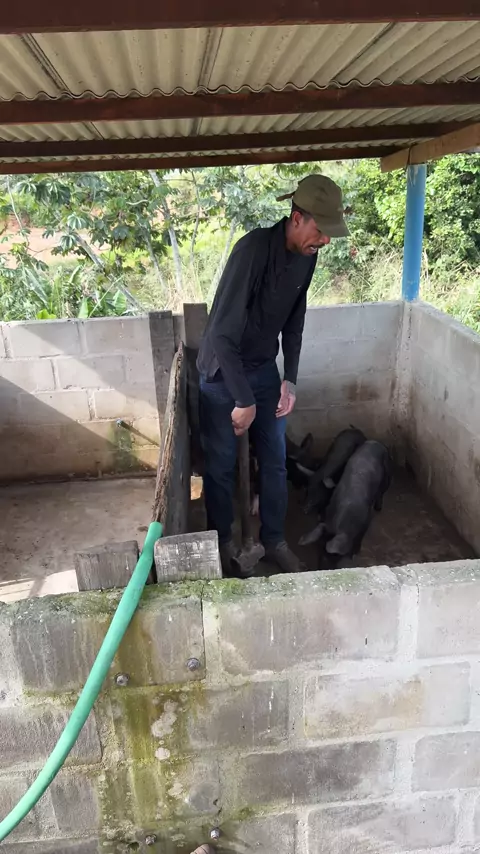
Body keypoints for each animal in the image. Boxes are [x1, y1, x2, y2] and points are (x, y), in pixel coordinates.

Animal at [299, 440, 392, 569]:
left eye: (333, 556)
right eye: (318, 551)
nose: (321, 568)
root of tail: (374, 441)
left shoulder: (368, 518)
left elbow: (360, 537)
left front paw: (355, 554)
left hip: (387, 471)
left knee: (382, 491)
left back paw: (379, 507)